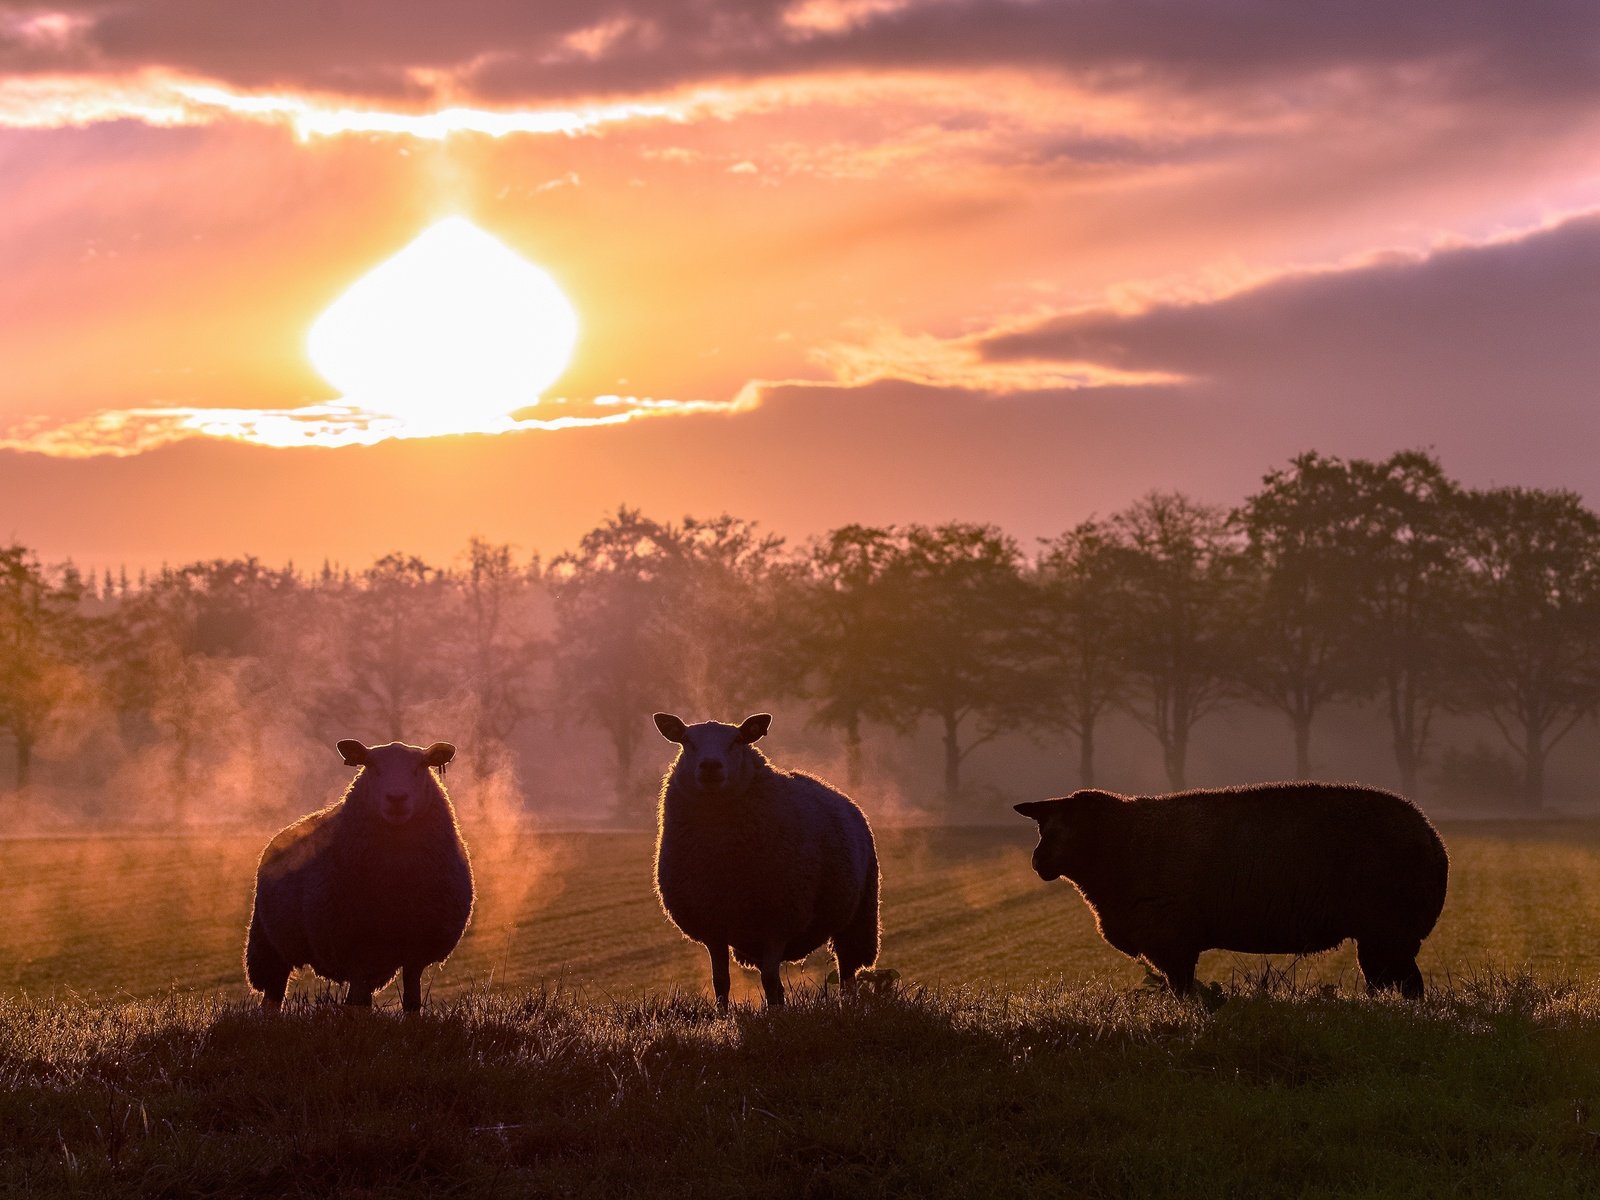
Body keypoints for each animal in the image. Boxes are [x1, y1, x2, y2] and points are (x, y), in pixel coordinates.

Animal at [240, 742, 470, 1017]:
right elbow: (359, 1006)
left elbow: (412, 1001)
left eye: (420, 767)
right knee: (272, 994)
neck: (396, 885)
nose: (396, 799)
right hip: (269, 944)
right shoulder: (355, 947)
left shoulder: (416, 948)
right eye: (372, 767)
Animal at [1011, 784, 1452, 998]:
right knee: (1390, 984)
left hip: (1388, 931)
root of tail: (1432, 838)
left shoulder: (1172, 940)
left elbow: (1182, 990)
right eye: (1042, 826)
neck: (1120, 844)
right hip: (1382, 936)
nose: (1037, 862)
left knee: (1408, 986)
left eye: (1068, 828)